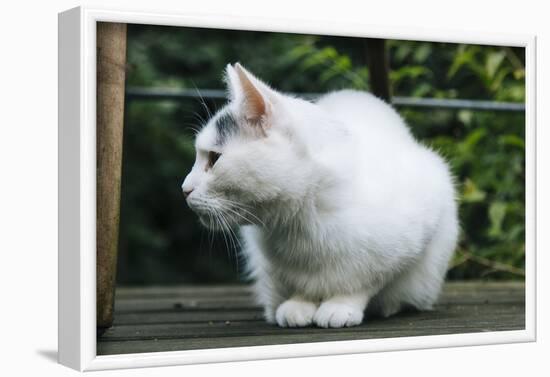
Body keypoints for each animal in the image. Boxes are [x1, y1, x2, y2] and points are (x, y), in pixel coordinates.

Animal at [183, 61, 460, 326]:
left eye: (214, 158)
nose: (184, 189)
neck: (302, 220)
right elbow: (300, 284)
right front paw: (299, 305)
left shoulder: (422, 220)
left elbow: (367, 280)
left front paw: (341, 305)